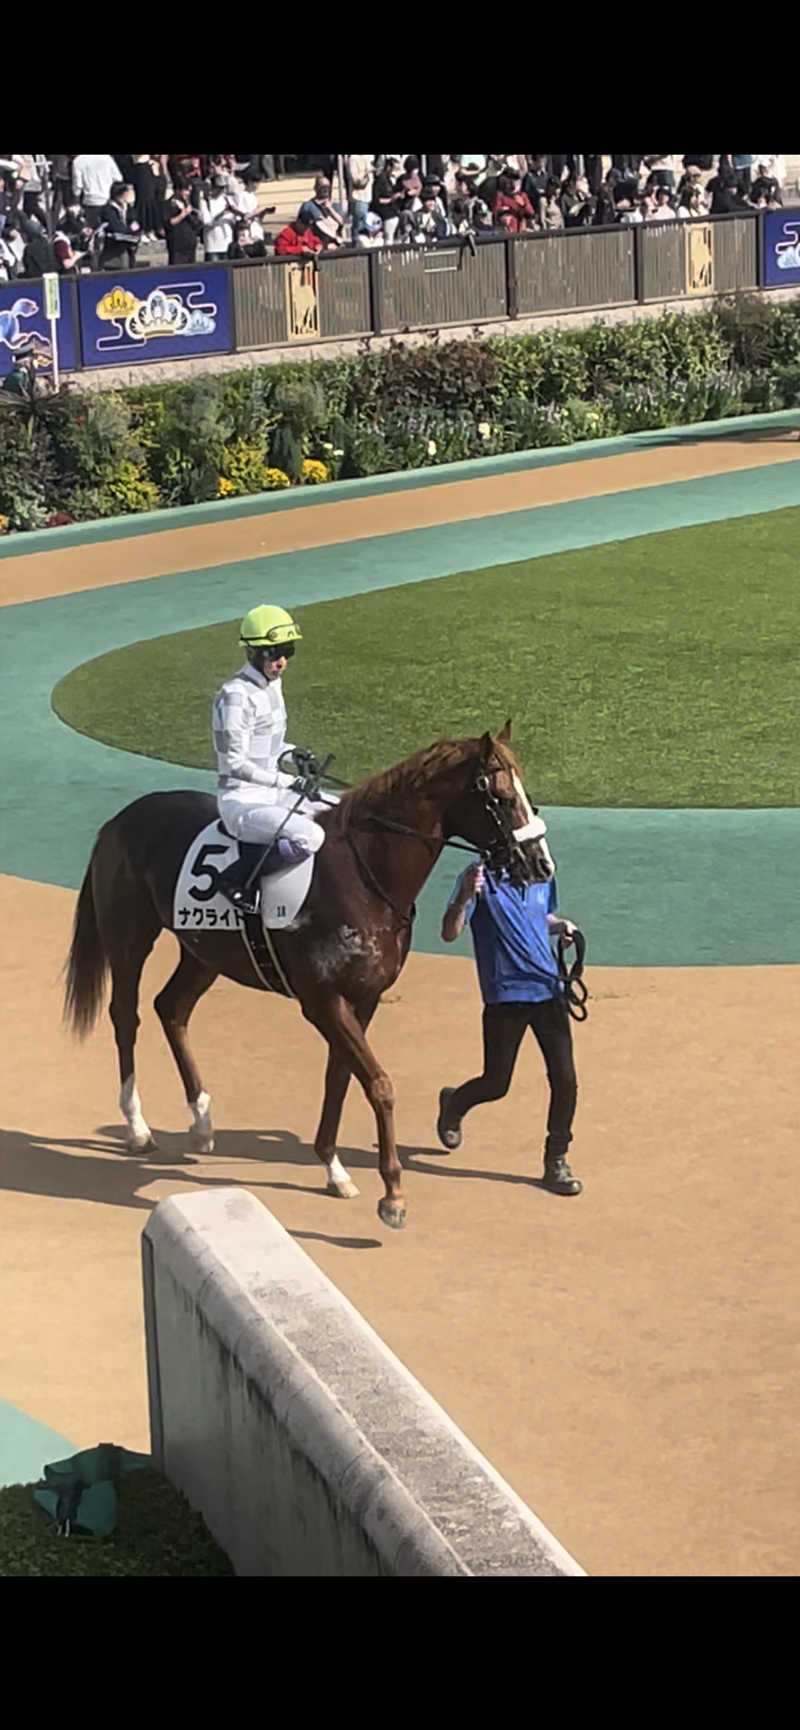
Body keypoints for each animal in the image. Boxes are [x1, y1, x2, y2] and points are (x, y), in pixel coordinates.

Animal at [62, 719, 554, 1231]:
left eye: (528, 794)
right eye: (501, 796)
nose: (540, 864)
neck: (364, 876)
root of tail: (120, 819)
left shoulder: (363, 999)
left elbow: (340, 1076)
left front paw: (334, 1167)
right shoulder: (323, 1001)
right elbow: (379, 1084)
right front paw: (393, 1193)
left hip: (204, 952)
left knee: (172, 1008)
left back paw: (201, 1122)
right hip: (129, 937)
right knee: (126, 1015)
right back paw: (137, 1127)